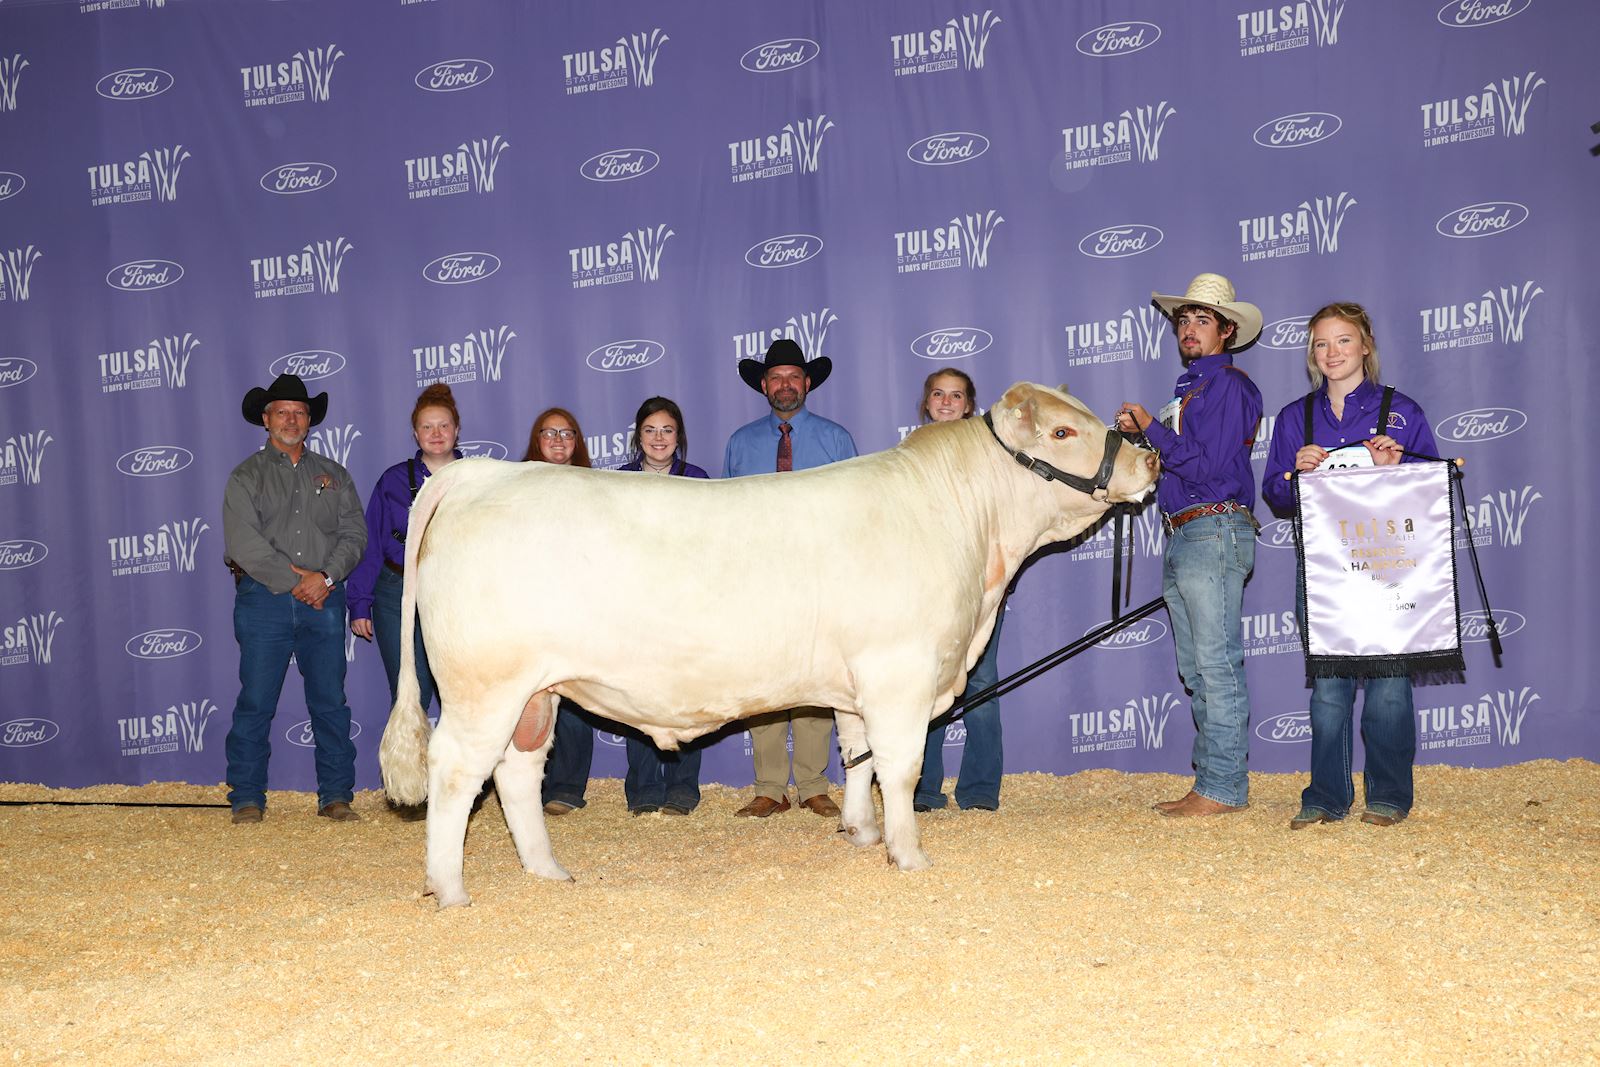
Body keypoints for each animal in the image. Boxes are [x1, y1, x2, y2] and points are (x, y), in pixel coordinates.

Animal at [387, 379, 1164, 908]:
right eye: (1062, 433)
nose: (1151, 460)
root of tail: (480, 475)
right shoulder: (901, 670)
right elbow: (901, 767)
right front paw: (908, 855)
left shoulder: (859, 679)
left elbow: (857, 755)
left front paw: (861, 833)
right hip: (485, 684)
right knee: (457, 771)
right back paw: (449, 888)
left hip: (538, 690)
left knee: (518, 772)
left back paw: (548, 871)